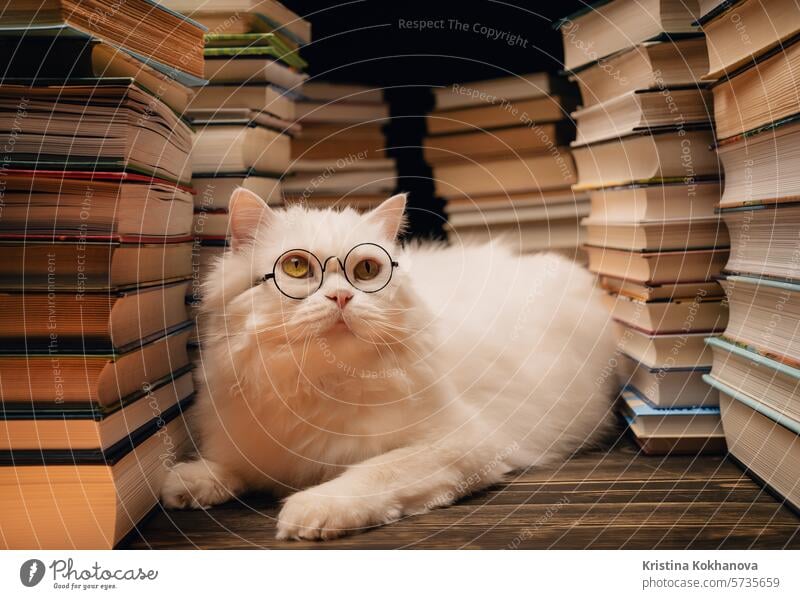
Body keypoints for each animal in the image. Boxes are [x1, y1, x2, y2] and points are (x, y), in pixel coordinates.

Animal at [162, 190, 620, 540]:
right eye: (296, 266)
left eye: (366, 270)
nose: (342, 298)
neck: (318, 382)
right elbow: (229, 467)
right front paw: (186, 483)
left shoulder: (461, 444)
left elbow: (372, 473)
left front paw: (311, 510)